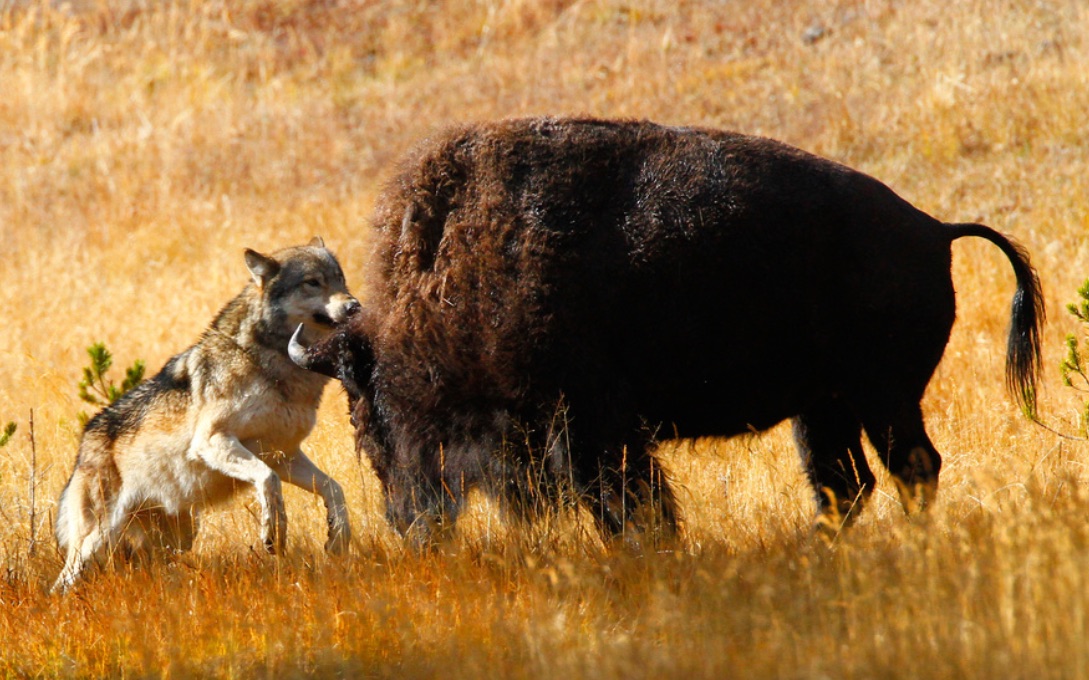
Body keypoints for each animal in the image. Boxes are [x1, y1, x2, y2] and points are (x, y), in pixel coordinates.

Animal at [53, 236, 359, 592]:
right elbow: (267, 482)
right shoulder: (213, 441)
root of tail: (83, 446)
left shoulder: (283, 455)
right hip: (96, 541)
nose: (354, 306)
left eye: (341, 280)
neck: (271, 364)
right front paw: (274, 534)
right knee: (63, 580)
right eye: (313, 282)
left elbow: (334, 489)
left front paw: (337, 539)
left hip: (176, 538)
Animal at [285, 115, 1041, 542]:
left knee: (913, 469)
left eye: (370, 403)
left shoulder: (594, 429)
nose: (407, 524)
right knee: (845, 484)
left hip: (883, 399)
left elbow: (627, 503)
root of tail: (933, 230)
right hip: (824, 409)